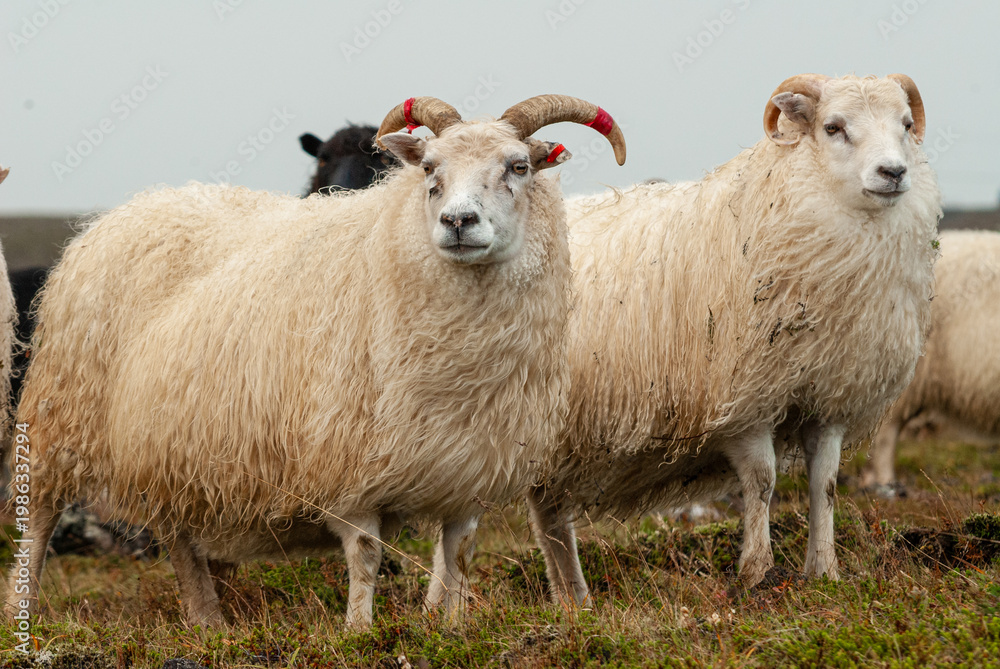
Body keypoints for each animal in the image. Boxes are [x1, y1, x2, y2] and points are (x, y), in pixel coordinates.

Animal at [6, 95, 626, 628]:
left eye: (518, 166)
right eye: (430, 169)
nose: (457, 222)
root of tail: (131, 208)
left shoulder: (468, 467)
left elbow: (458, 555)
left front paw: (449, 626)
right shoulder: (345, 457)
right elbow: (366, 554)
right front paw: (359, 631)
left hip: (168, 440)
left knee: (179, 536)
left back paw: (208, 623)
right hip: (65, 414)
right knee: (39, 518)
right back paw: (24, 610)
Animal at [528, 74, 941, 606]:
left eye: (906, 124)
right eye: (833, 127)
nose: (893, 172)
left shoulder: (828, 398)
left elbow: (825, 484)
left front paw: (823, 571)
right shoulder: (745, 400)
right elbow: (761, 483)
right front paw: (756, 573)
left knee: (550, 517)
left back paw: (573, 600)